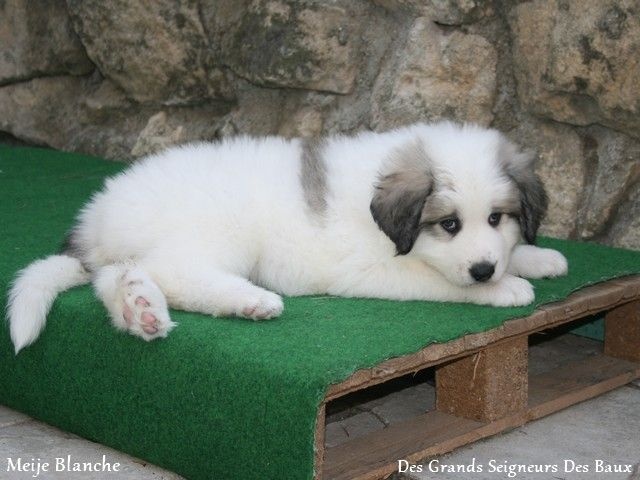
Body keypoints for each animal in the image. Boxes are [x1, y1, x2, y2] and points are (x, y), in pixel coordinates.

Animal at [8, 122, 568, 353]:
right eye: (449, 224)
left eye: (496, 218)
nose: (484, 269)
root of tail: (96, 217)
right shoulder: (373, 269)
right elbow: (440, 280)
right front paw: (505, 288)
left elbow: (515, 251)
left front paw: (538, 258)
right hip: (217, 231)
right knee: (177, 273)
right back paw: (251, 301)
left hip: (130, 256)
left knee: (116, 280)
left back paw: (140, 309)